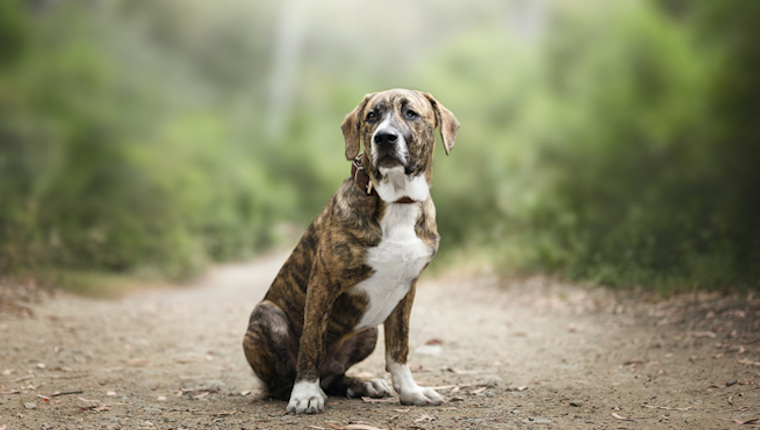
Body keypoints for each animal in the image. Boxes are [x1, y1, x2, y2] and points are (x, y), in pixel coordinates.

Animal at [243, 87, 458, 414]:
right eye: (371, 116)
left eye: (411, 113)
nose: (384, 138)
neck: (397, 201)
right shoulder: (323, 282)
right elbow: (311, 341)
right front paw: (305, 394)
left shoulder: (406, 291)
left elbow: (399, 347)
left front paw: (410, 392)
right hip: (267, 315)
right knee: (283, 382)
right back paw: (306, 389)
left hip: (367, 331)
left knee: (334, 376)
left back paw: (361, 385)